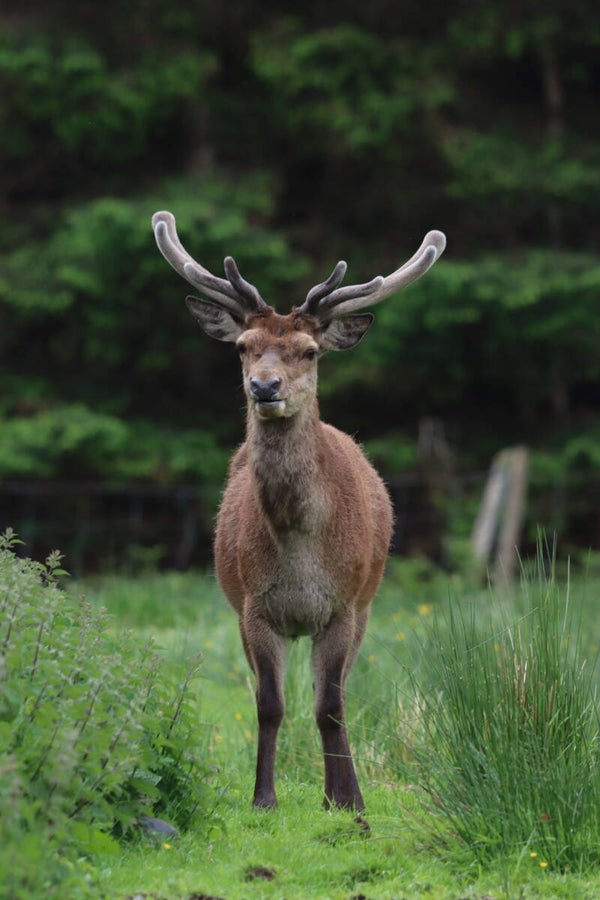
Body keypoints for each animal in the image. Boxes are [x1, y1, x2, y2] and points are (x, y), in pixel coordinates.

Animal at [152, 210, 446, 811]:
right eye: (243, 346)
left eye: (310, 351)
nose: (265, 386)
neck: (299, 551)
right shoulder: (253, 609)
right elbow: (269, 704)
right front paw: (263, 797)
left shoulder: (343, 607)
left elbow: (330, 706)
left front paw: (348, 801)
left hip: (367, 604)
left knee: (338, 695)